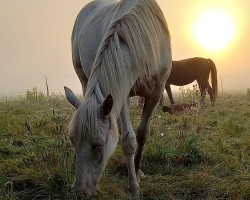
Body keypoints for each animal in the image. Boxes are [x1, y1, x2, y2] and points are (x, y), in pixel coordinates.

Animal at [64, 0, 172, 197]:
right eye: (73, 141)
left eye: (99, 146)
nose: (79, 191)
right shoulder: (122, 94)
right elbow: (128, 140)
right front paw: (133, 186)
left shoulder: (157, 92)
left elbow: (142, 134)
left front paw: (136, 174)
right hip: (84, 78)